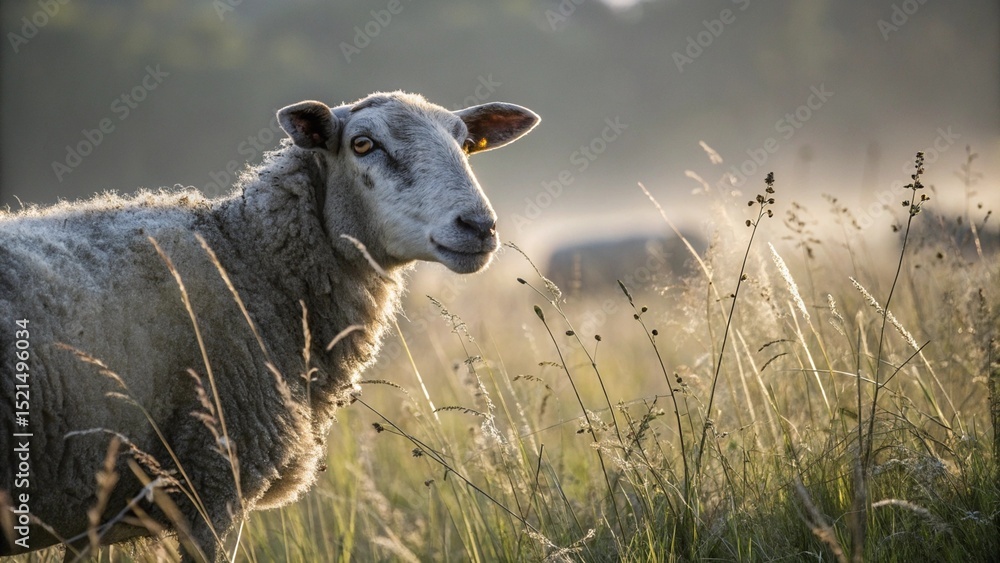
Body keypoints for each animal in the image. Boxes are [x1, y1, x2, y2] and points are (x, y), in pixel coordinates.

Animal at [0, 91, 539, 561]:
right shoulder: (214, 483)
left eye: (465, 143)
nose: (479, 226)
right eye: (363, 144)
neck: (247, 259)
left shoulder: (91, 514)